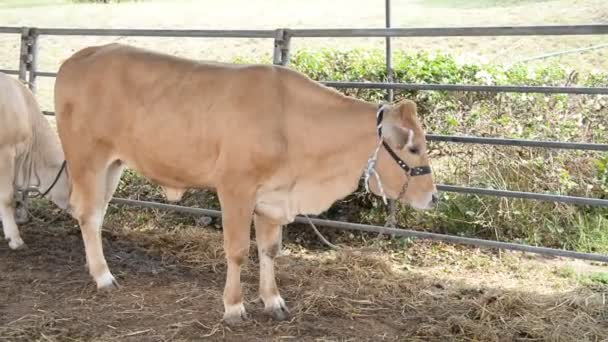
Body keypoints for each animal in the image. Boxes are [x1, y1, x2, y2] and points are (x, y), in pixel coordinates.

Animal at [53, 44, 436, 324]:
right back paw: (104, 277)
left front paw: (273, 300)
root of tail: (81, 55)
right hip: (87, 159)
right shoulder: (235, 189)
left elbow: (269, 250)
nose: (433, 197)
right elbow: (237, 250)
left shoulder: (272, 198)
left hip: (113, 165)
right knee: (87, 214)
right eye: (414, 147)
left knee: (96, 215)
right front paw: (234, 307)